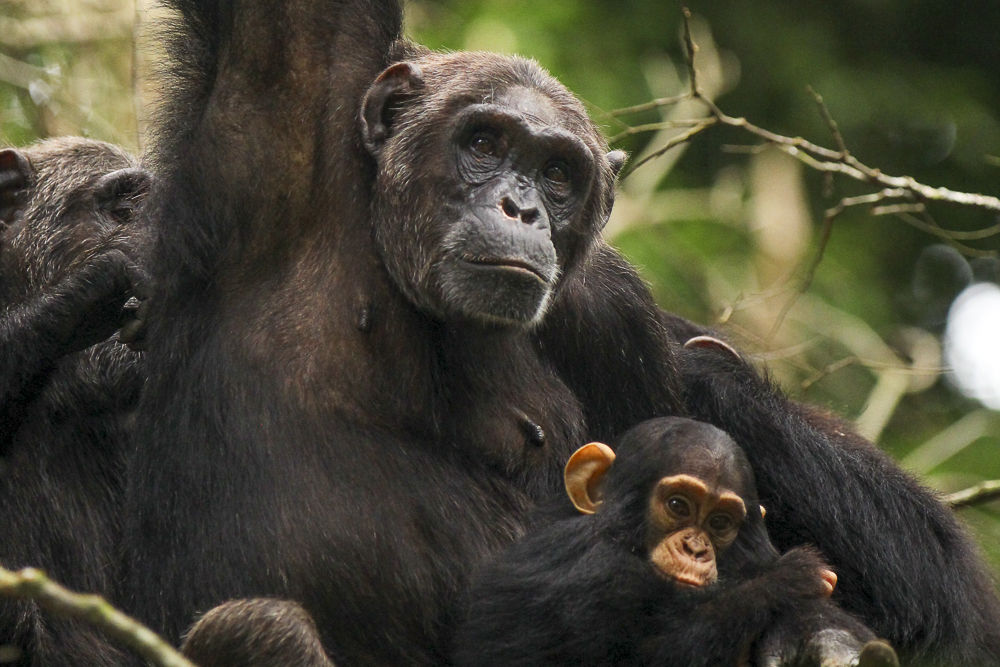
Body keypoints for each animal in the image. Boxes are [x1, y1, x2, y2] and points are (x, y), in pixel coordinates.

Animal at [454, 418, 900, 667]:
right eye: (677, 505)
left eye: (720, 522)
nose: (695, 548)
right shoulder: (597, 573)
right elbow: (653, 653)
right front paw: (790, 578)